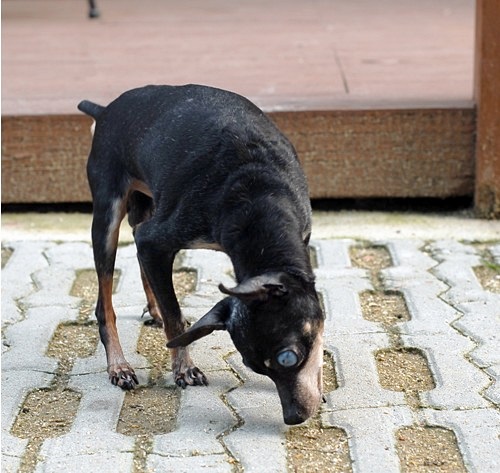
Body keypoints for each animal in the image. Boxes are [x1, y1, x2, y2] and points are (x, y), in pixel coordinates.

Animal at [78, 85, 324, 424]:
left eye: (284, 359)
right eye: (256, 367)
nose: (294, 417)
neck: (258, 192)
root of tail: (103, 110)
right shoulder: (156, 239)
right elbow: (174, 318)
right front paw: (184, 368)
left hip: (146, 203)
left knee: (141, 257)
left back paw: (152, 310)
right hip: (107, 215)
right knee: (105, 302)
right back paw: (118, 365)